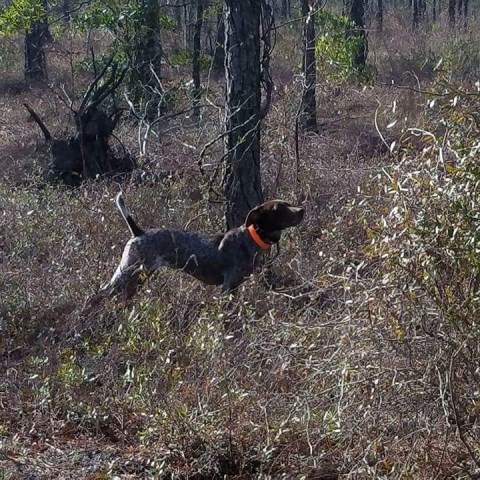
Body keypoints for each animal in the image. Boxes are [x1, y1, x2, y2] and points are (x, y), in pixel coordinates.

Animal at [104, 193, 304, 298]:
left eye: (288, 204)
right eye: (279, 208)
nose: (302, 210)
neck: (252, 238)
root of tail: (138, 232)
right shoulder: (227, 287)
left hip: (140, 276)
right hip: (127, 272)